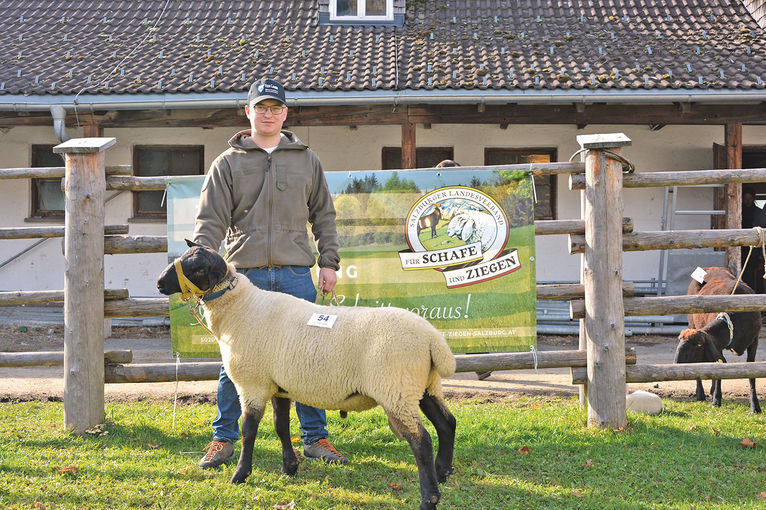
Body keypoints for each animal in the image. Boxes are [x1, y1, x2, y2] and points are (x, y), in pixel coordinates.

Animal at [156, 241, 456, 508]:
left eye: (196, 268)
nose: (159, 283)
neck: (240, 308)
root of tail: (433, 339)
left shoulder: (253, 384)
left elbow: (248, 431)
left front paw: (240, 475)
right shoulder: (278, 385)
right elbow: (281, 426)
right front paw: (289, 468)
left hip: (396, 391)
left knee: (421, 441)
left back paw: (429, 497)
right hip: (422, 386)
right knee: (447, 423)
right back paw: (442, 473)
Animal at [680, 266, 760, 414]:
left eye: (698, 346)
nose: (677, 363)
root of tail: (709, 268)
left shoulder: (754, 342)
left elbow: (751, 373)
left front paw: (755, 406)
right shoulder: (718, 344)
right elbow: (720, 368)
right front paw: (716, 400)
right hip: (691, 322)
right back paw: (701, 394)